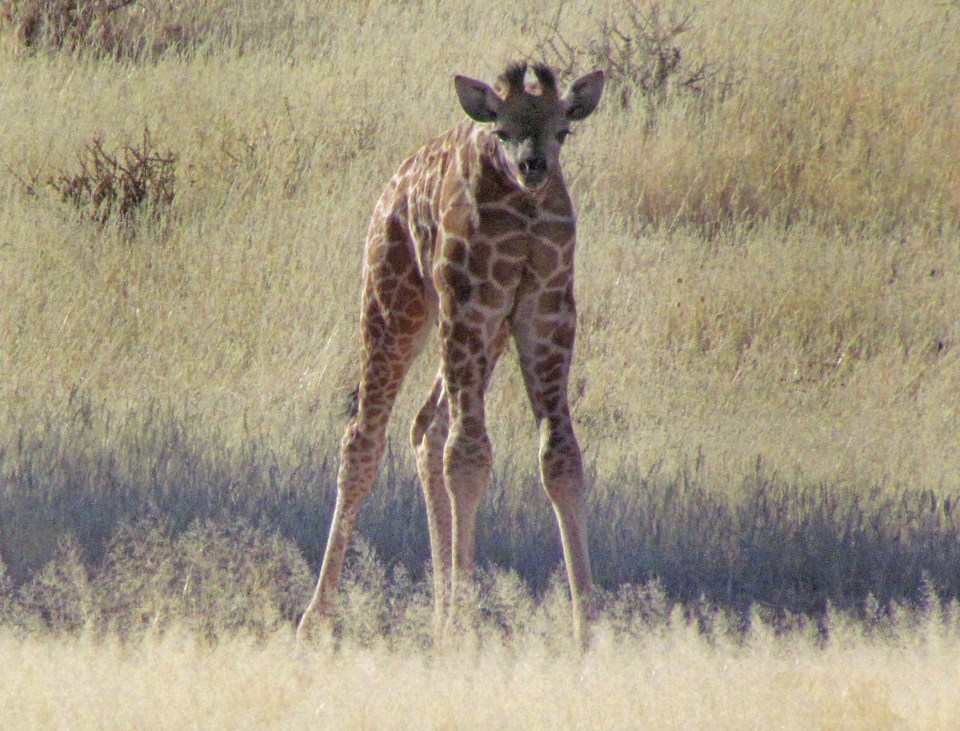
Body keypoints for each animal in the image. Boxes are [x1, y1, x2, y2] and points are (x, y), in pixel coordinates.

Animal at [296, 60, 604, 648]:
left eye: (564, 131)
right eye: (501, 131)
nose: (534, 167)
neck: (522, 209)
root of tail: (392, 184)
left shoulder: (546, 312)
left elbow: (561, 457)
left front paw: (588, 632)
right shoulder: (470, 302)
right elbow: (468, 455)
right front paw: (467, 626)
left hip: (484, 333)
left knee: (424, 427)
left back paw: (436, 618)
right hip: (399, 300)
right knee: (364, 438)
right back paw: (315, 622)